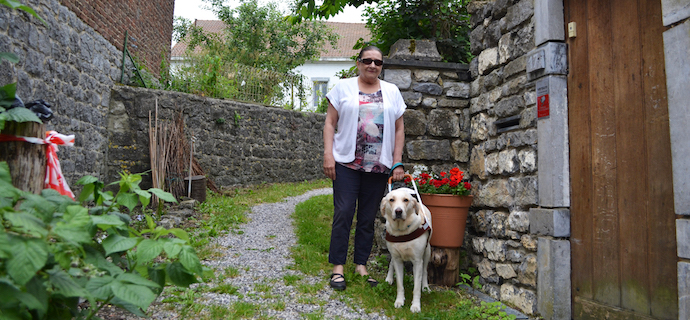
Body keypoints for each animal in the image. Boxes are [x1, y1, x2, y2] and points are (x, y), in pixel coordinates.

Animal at [382, 186, 430, 314]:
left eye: (406, 200)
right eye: (391, 200)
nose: (398, 211)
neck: (401, 231)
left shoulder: (417, 262)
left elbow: (416, 288)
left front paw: (416, 306)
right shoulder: (397, 259)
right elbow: (400, 284)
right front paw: (399, 301)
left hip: (427, 252)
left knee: (425, 271)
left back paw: (425, 287)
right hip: (393, 253)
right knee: (391, 263)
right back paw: (389, 278)